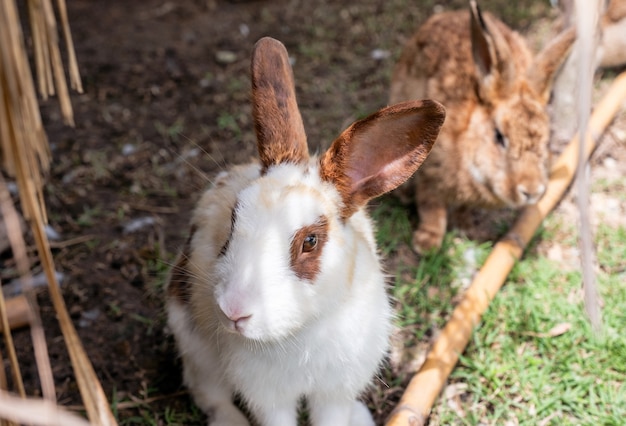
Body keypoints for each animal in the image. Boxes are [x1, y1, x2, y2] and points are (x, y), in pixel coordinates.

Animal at [163, 37, 442, 426]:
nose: (233, 311)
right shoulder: (268, 396)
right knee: (209, 394)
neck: (303, 331)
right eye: (234, 220)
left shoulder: (336, 389)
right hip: (194, 344)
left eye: (310, 240)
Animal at [390, 0, 576, 253]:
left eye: (546, 142)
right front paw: (427, 243)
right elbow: (431, 205)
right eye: (499, 137)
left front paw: (466, 227)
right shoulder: (430, 171)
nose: (531, 191)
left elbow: (461, 209)